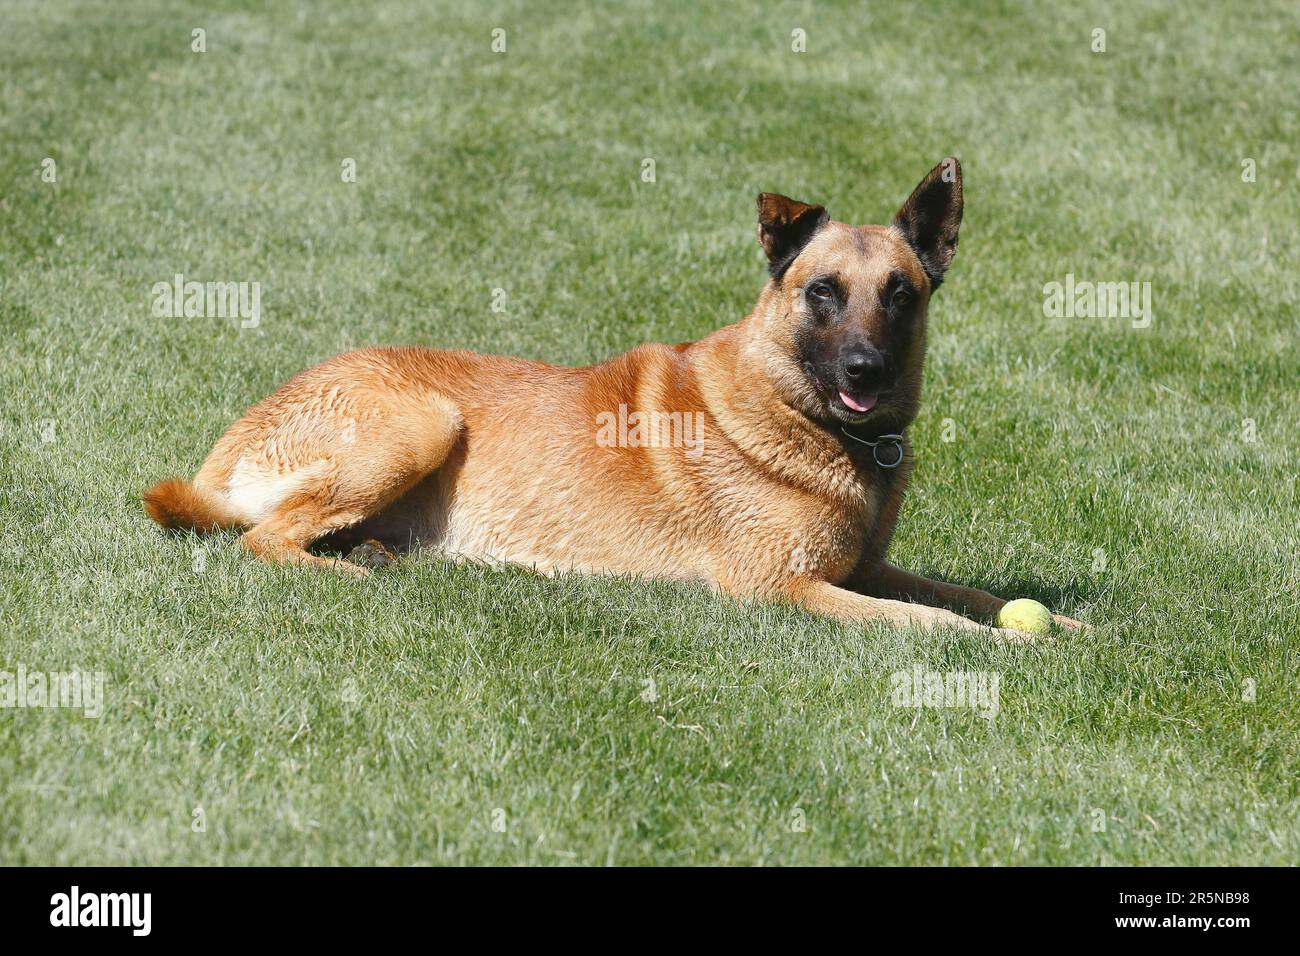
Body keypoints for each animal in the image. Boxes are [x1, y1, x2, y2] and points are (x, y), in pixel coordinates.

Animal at [142, 158, 1081, 642]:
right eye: (822, 293)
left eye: (900, 295)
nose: (865, 371)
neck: (793, 414)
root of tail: (230, 449)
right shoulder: (780, 587)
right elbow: (930, 623)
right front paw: (1011, 646)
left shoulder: (869, 565)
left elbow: (962, 594)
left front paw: (1066, 630)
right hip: (423, 421)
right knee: (264, 538)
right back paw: (351, 575)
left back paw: (375, 556)